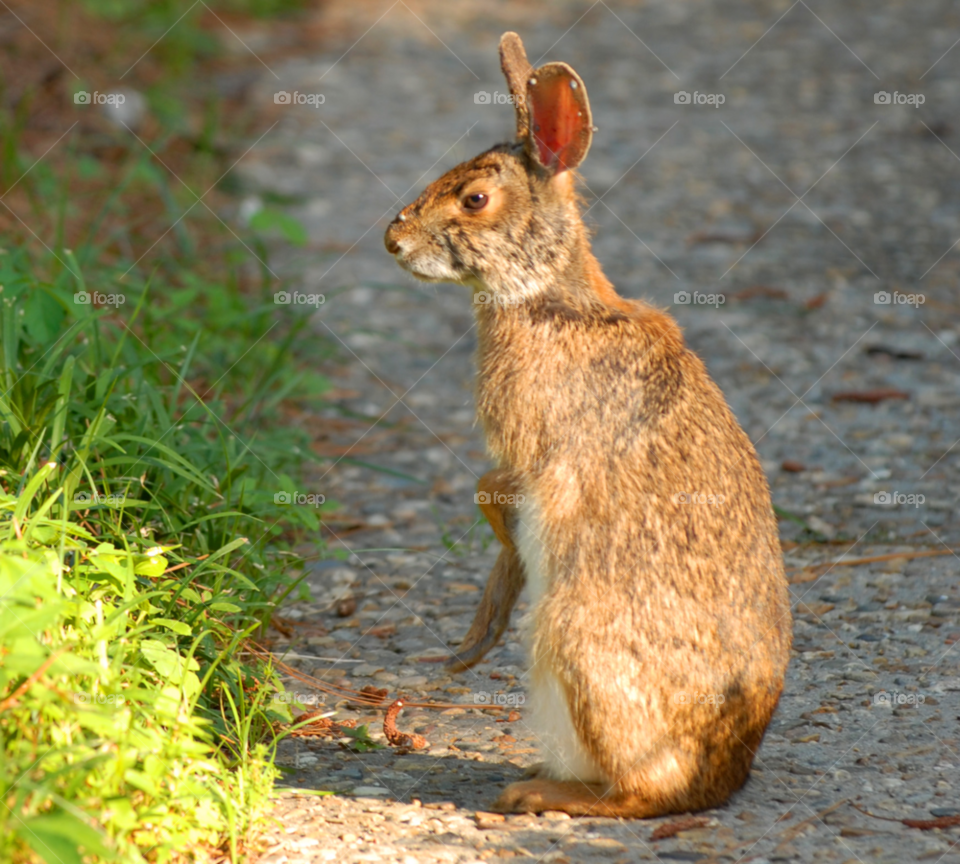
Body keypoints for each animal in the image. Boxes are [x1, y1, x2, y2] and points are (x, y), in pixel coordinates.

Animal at [380, 33, 788, 816]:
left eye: (475, 199)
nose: (393, 239)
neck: (546, 297)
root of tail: (722, 776)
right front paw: (472, 645)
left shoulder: (526, 454)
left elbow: (490, 492)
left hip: (577, 647)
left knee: (641, 793)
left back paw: (537, 795)